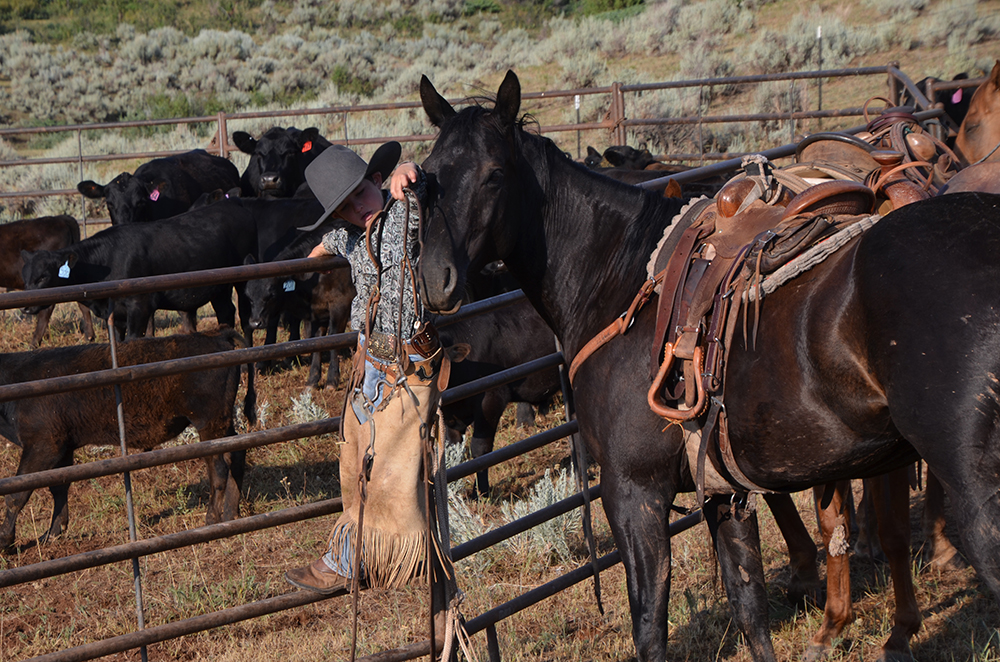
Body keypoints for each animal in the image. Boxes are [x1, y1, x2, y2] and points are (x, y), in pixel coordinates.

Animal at [0, 329, 255, 549]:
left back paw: (212, 519)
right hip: (222, 423)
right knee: (237, 455)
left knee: (219, 468)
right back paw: (231, 513)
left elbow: (17, 493)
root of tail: (215, 334)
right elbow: (58, 488)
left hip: (208, 424)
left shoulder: (43, 445)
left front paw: (5, 541)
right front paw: (51, 533)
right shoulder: (63, 448)